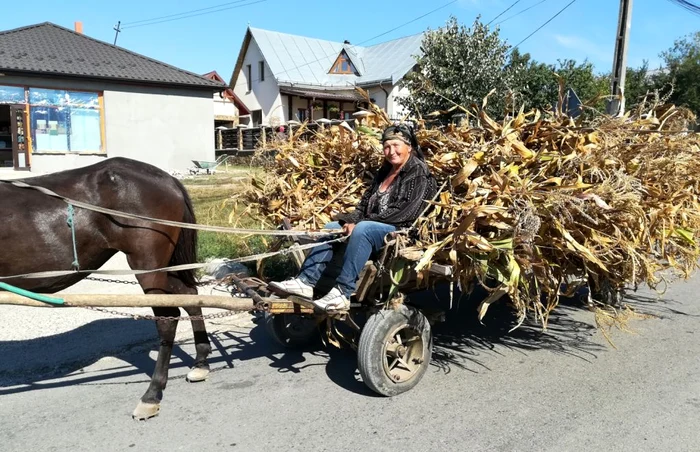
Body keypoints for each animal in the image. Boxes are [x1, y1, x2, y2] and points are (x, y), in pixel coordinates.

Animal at [1, 156, 212, 420]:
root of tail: (167, 178)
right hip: (163, 268)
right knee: (190, 296)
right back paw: (201, 363)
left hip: (148, 266)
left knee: (167, 319)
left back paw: (152, 393)